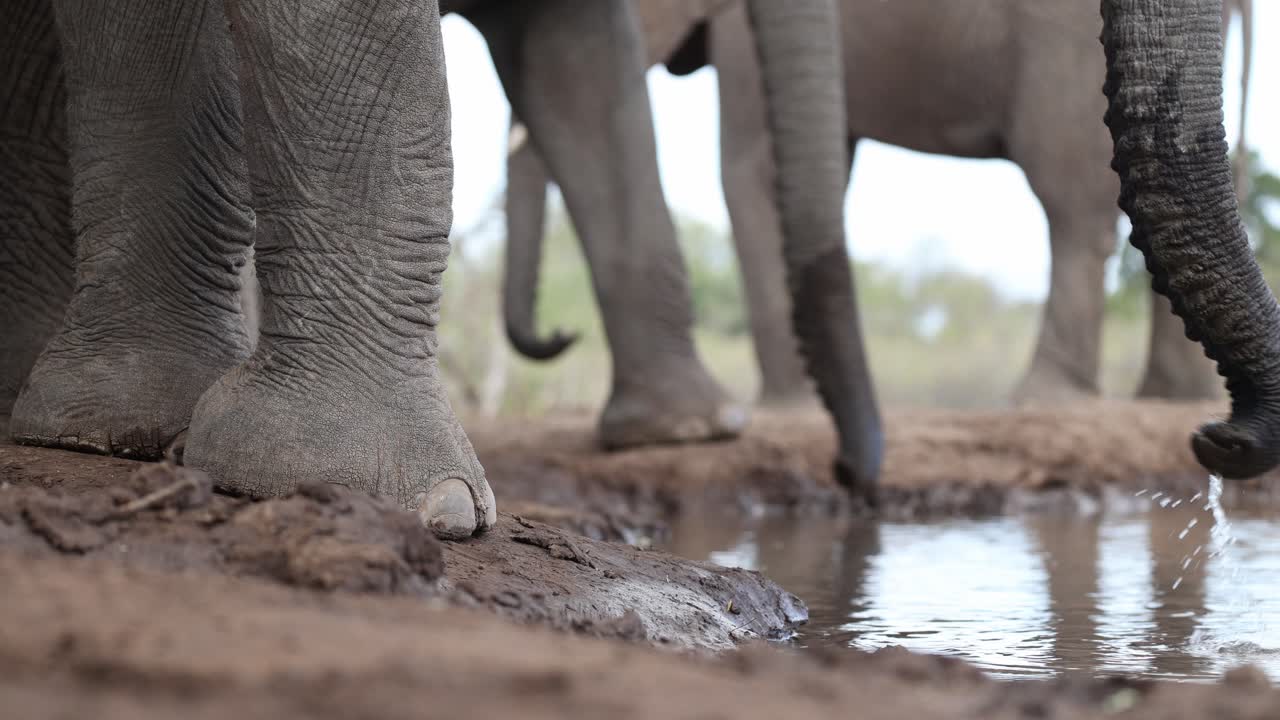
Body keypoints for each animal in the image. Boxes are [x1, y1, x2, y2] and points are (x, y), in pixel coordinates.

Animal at [503, 0, 1254, 406]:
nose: (561, 334)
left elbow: (749, 173)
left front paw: (787, 409)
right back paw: (1171, 400)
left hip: (1060, 39)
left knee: (1071, 200)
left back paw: (1040, 401)